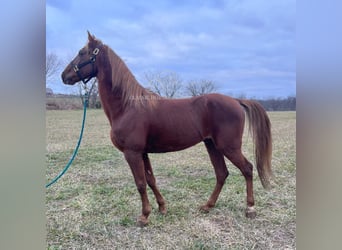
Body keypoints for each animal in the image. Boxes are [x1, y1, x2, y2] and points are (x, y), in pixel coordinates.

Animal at [61, 31, 272, 227]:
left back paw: (250, 208)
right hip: (212, 145)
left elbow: (140, 183)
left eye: (82, 52)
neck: (127, 106)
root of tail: (236, 101)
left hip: (229, 147)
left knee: (247, 169)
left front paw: (144, 216)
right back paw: (207, 206)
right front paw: (162, 207)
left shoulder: (132, 152)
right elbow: (150, 180)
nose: (64, 76)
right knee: (222, 173)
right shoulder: (142, 152)